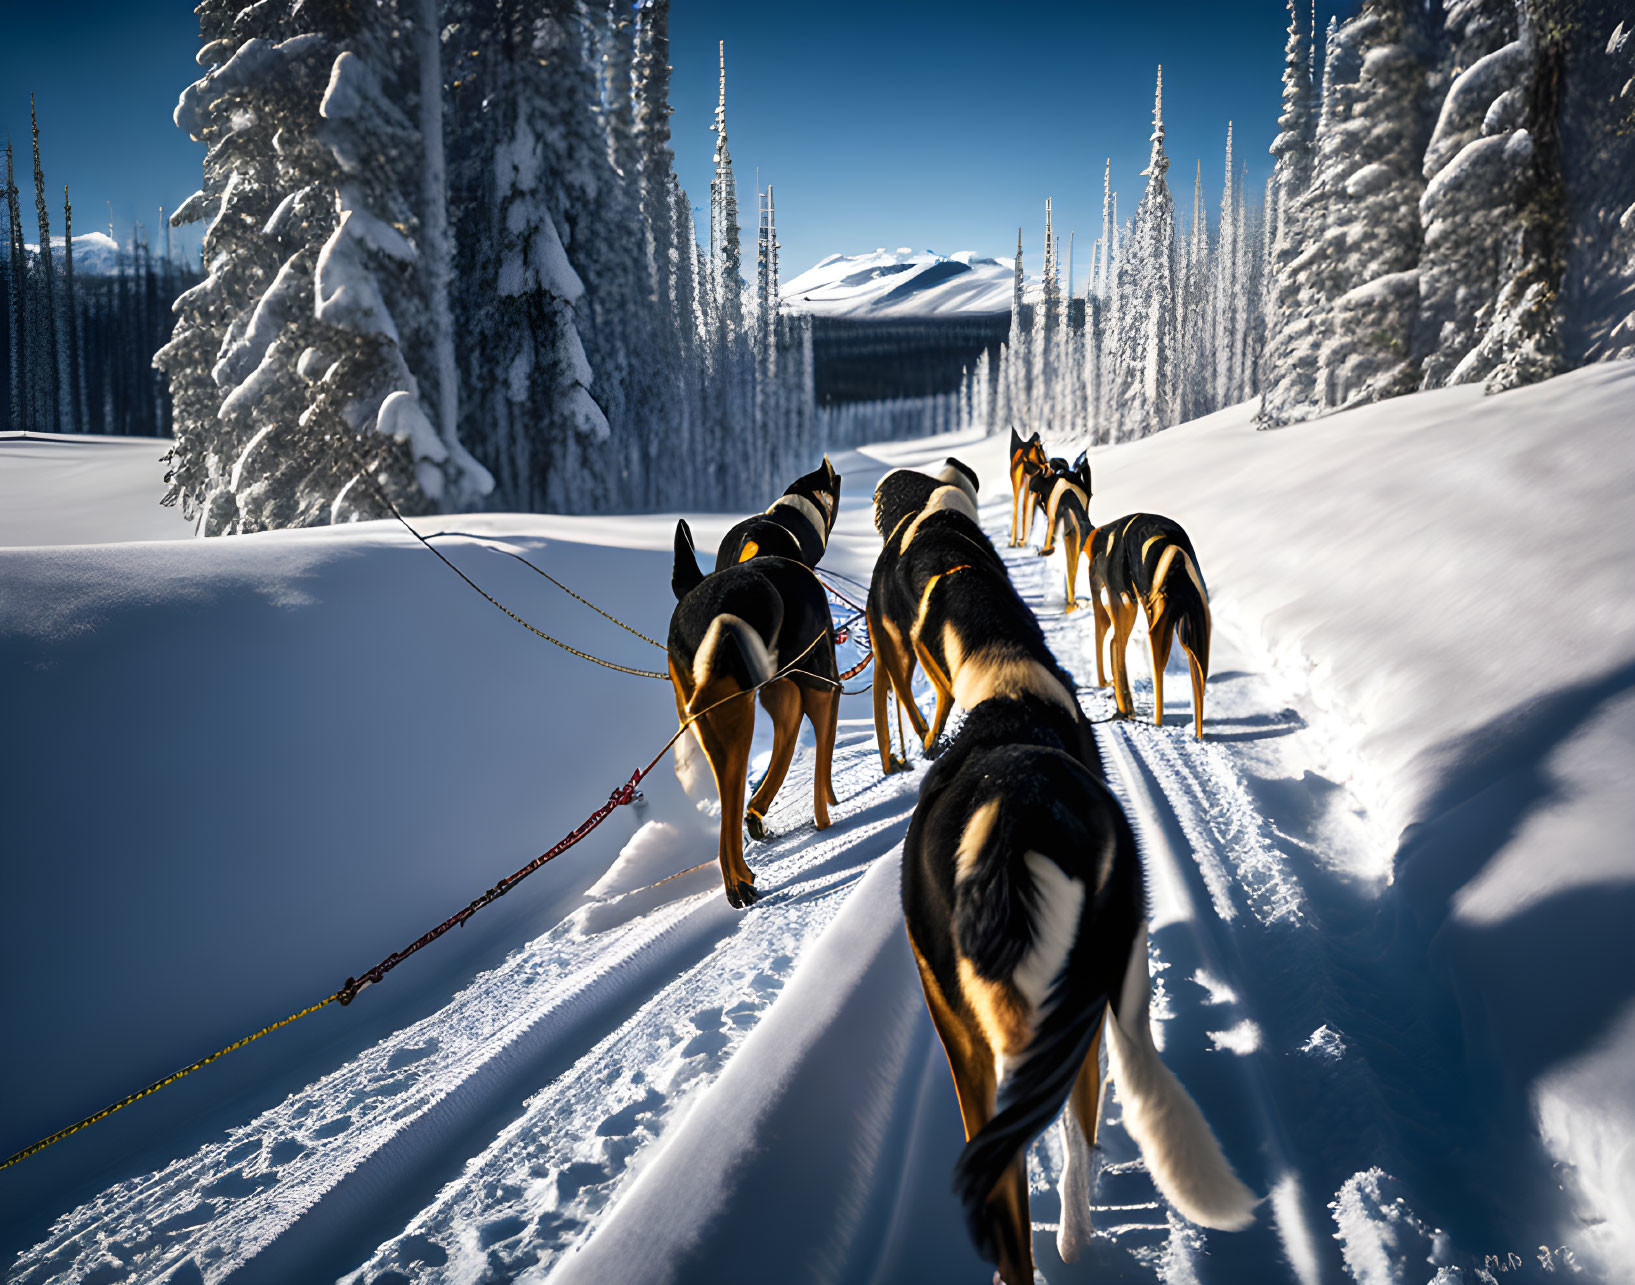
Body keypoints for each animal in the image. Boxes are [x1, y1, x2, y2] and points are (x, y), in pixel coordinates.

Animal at [667, 516, 837, 902]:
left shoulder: (782, 692)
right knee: (732, 794)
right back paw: (739, 881)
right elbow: (822, 750)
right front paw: (824, 815)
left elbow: (786, 739)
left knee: (728, 799)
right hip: (737, 715)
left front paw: (758, 813)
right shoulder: (821, 681)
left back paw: (737, 876)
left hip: (712, 720)